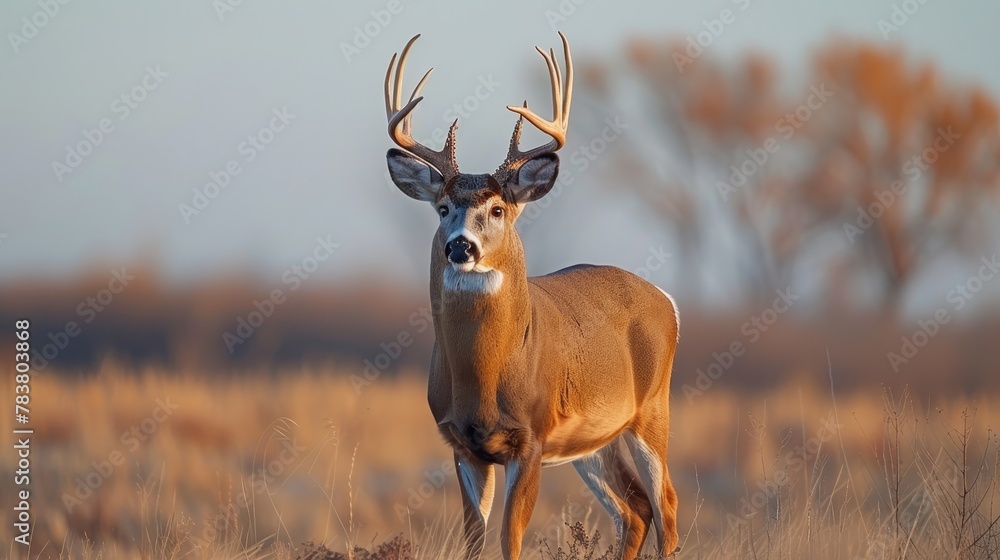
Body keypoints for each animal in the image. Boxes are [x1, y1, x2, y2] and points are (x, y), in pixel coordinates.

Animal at [383, 32, 680, 560]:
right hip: (595, 440)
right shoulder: (461, 444)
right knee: (635, 509)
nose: (461, 246)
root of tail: (667, 299)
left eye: (498, 209)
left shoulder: (532, 437)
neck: (484, 375)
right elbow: (474, 539)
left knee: (667, 505)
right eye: (443, 207)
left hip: (652, 409)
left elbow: (510, 538)